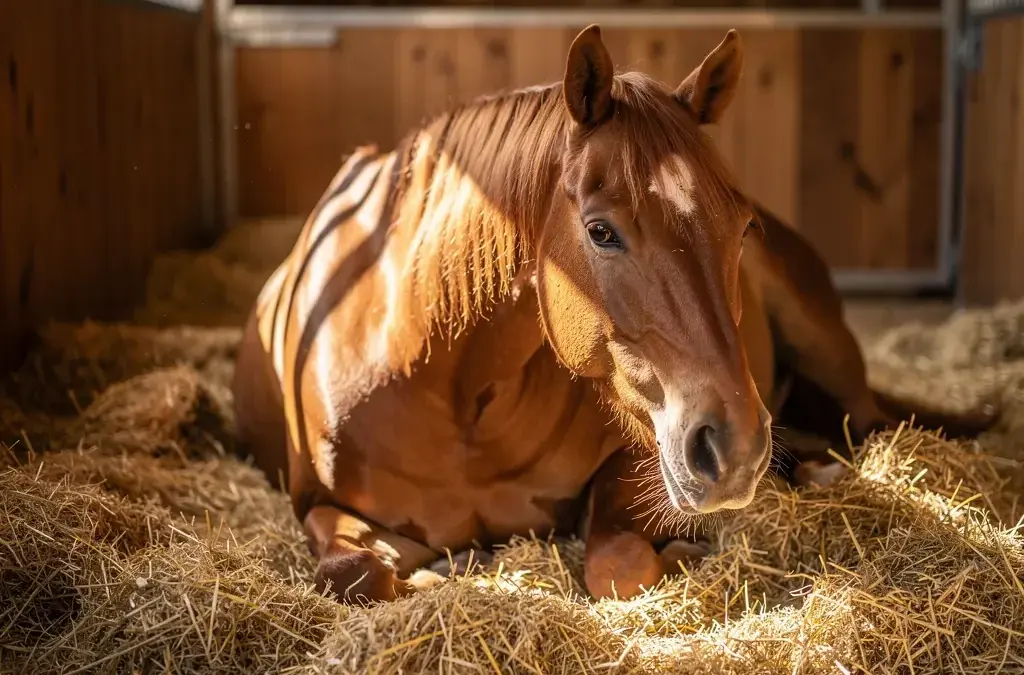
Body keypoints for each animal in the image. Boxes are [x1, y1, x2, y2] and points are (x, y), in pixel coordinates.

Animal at [232, 25, 998, 603]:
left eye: (741, 228)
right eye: (601, 231)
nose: (736, 449)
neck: (452, 385)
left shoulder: (637, 457)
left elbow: (621, 567)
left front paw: (687, 552)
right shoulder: (318, 504)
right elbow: (354, 572)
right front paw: (432, 572)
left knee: (868, 427)